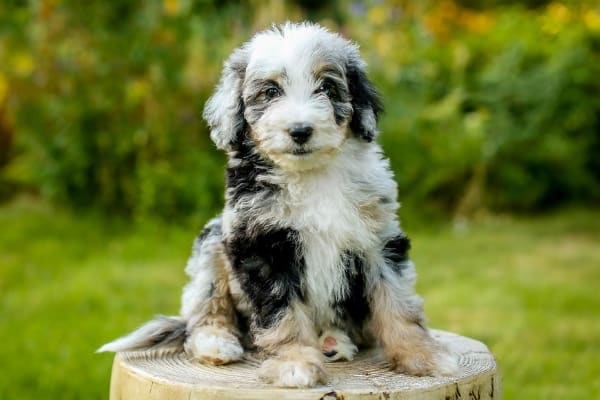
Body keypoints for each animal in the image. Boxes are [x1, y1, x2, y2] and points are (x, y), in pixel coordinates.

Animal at [99, 21, 454, 388]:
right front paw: (294, 364)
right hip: (213, 240)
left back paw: (333, 341)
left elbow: (398, 302)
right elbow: (282, 315)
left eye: (327, 88)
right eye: (270, 92)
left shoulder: (379, 239)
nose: (300, 130)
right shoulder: (262, 247)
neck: (311, 174)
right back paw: (217, 342)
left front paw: (422, 356)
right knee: (205, 306)